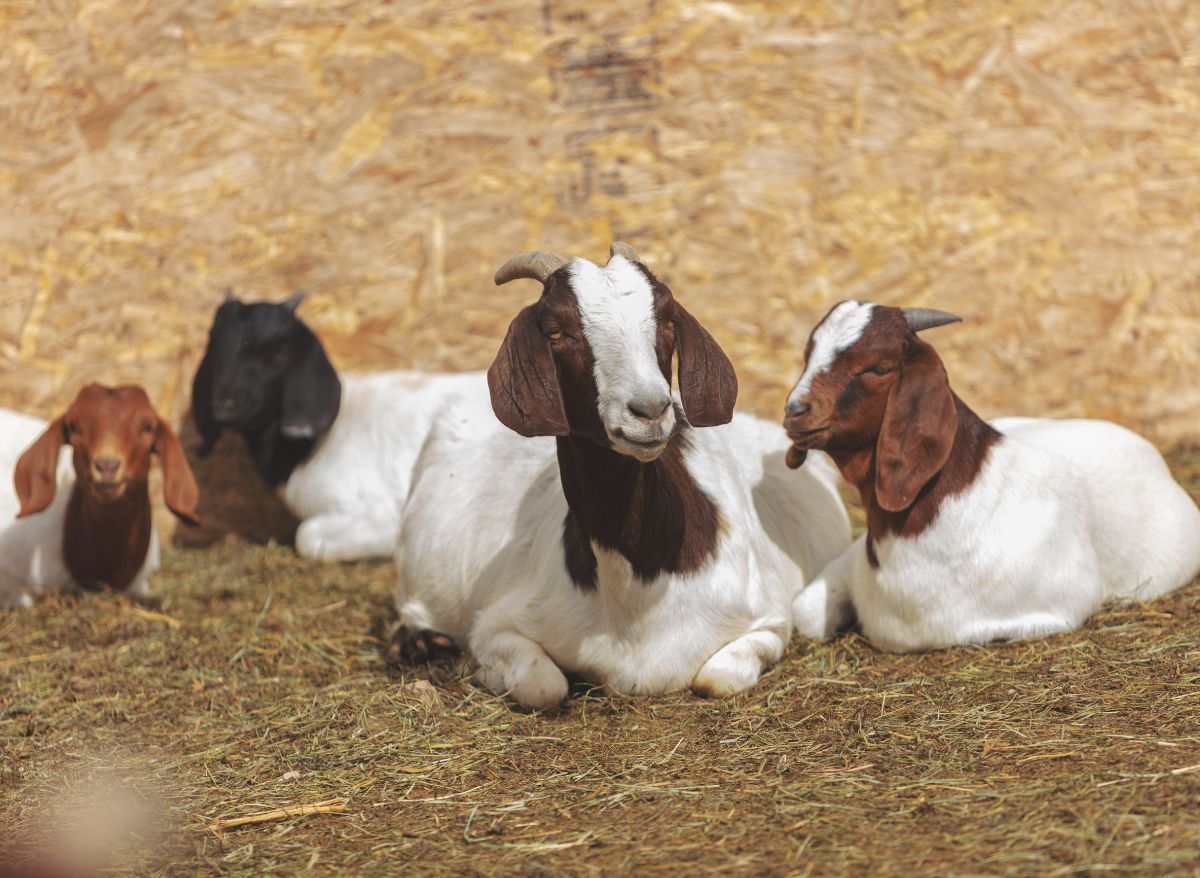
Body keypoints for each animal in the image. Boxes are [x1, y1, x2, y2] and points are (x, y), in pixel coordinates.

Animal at [392, 243, 851, 709]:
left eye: (667, 318)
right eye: (554, 331)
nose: (650, 411)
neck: (640, 585)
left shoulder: (770, 621)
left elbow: (717, 678)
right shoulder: (496, 622)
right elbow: (543, 685)